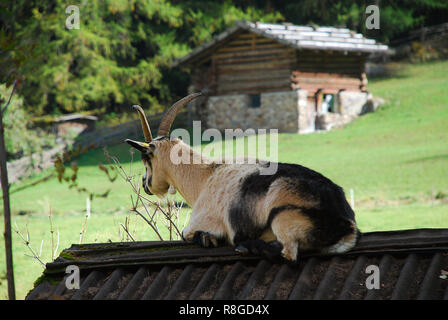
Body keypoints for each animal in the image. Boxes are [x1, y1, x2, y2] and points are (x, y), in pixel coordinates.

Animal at [125, 91, 360, 262]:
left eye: (146, 159)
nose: (145, 184)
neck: (205, 177)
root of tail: (347, 224)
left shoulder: (198, 222)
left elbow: (187, 233)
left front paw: (208, 238)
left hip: (283, 217)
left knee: (288, 252)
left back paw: (245, 247)